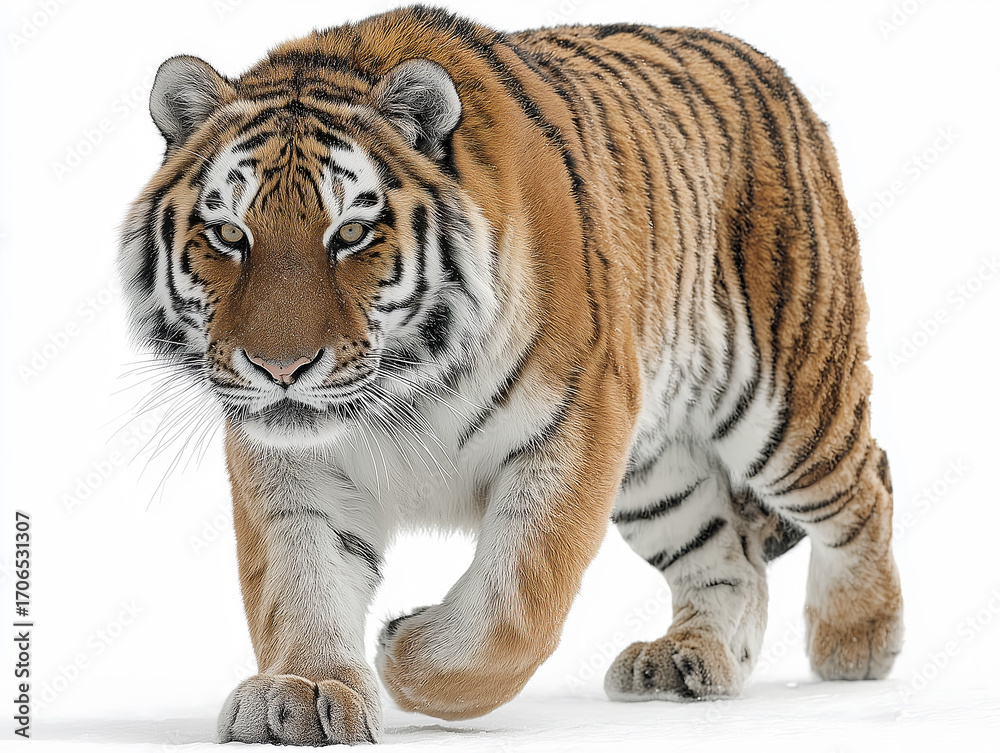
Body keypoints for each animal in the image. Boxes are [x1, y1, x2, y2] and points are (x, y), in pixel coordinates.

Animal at [119, 5, 903, 745]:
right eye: (229, 234)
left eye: (352, 234)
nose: (279, 367)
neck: (402, 388)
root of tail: (769, 69)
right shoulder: (294, 467)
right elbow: (300, 577)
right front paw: (305, 692)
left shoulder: (578, 420)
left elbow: (516, 598)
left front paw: (406, 654)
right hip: (656, 467)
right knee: (728, 552)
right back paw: (686, 659)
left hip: (785, 404)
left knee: (866, 482)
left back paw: (857, 641)